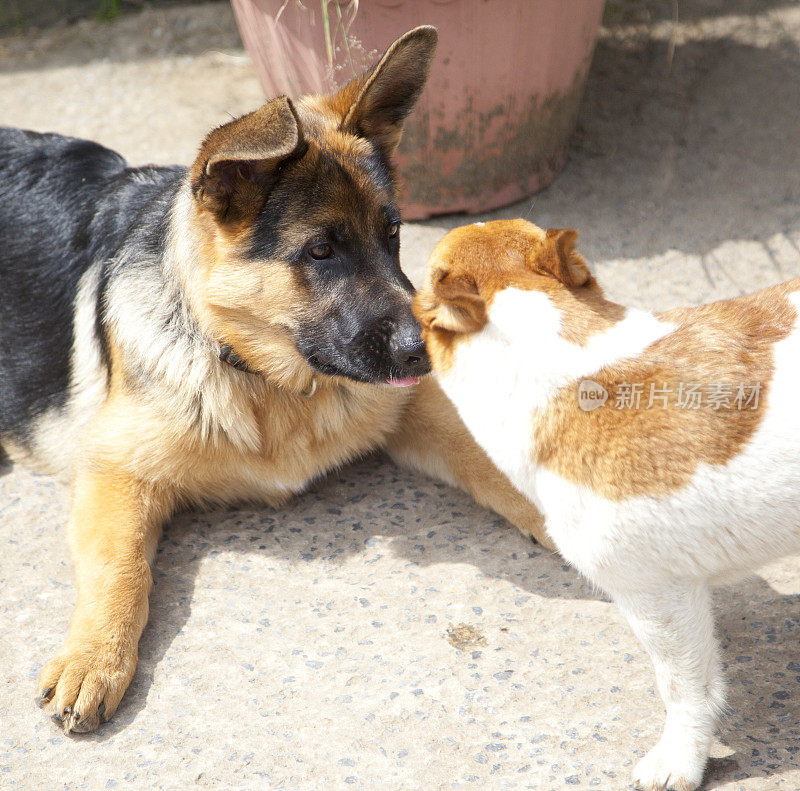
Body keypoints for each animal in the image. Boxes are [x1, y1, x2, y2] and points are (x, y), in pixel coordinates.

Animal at [0, 24, 552, 732]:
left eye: (393, 235)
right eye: (320, 251)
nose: (425, 354)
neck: (264, 378)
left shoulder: (411, 408)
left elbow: (492, 461)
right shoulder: (114, 470)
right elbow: (120, 569)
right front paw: (93, 657)